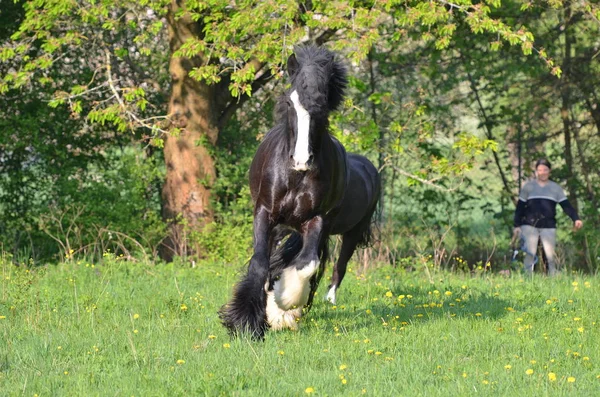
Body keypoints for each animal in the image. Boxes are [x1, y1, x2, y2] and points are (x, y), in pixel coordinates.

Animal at [220, 45, 380, 338]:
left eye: (322, 105)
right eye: (289, 102)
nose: (301, 160)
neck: (295, 177)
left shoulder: (317, 220)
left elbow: (306, 265)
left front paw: (282, 307)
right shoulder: (264, 213)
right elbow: (260, 263)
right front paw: (246, 322)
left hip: (345, 232)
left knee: (329, 264)